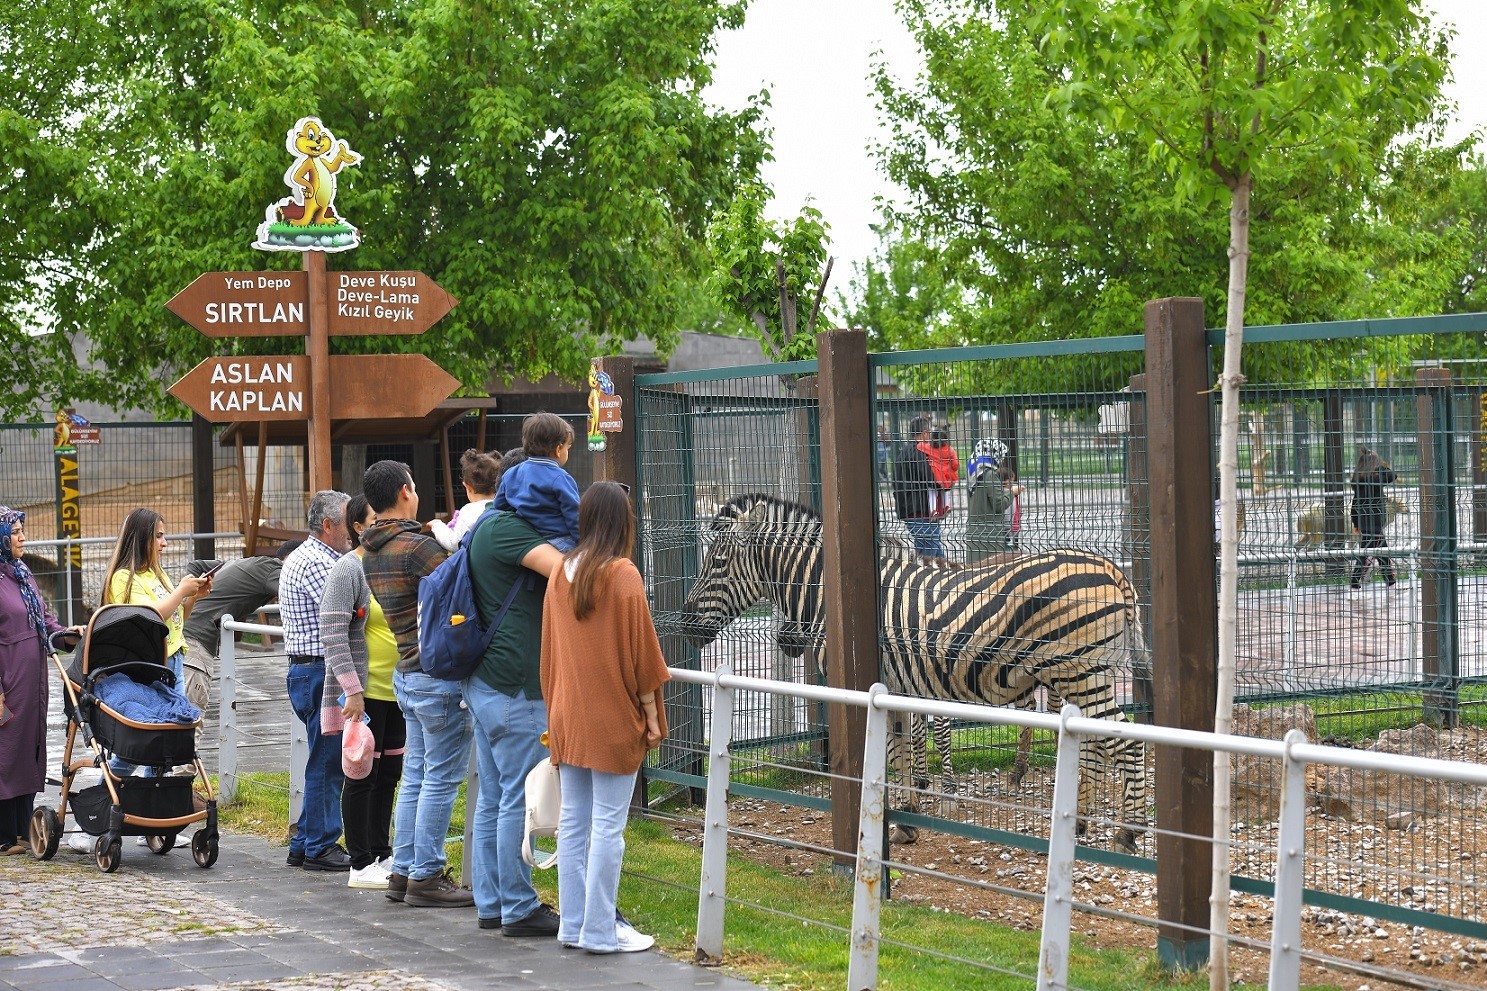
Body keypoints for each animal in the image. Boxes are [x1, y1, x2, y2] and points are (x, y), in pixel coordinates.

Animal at [678, 491, 1147, 851]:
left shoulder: (877, 684)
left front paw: (897, 820)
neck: (833, 594)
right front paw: (908, 818)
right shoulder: (901, 685)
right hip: (1088, 674)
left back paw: (1129, 833)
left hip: (1078, 672)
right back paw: (1081, 822)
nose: (683, 624)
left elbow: (890, 753)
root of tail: (1114, 571)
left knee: (1127, 739)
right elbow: (904, 748)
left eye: (718, 561)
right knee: (1095, 742)